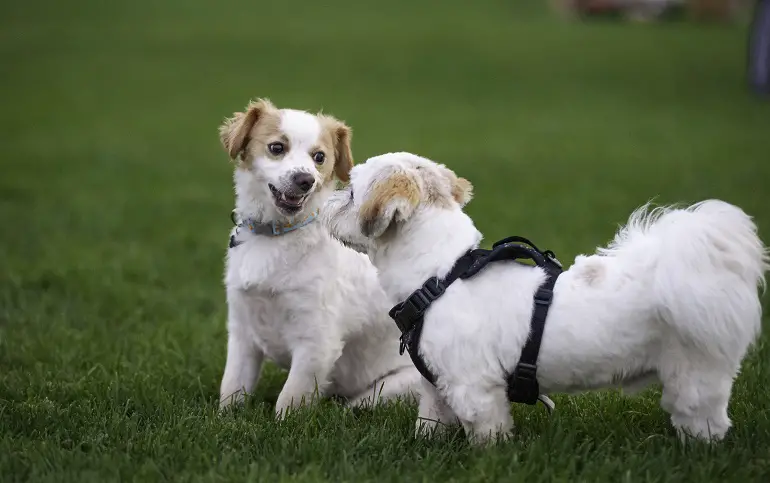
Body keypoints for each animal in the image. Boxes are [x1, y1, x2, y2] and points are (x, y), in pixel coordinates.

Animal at [216, 101, 420, 416]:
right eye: (276, 147)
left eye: (319, 157)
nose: (305, 180)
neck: (276, 237)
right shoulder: (242, 333)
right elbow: (231, 389)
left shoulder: (317, 342)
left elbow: (288, 401)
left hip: (388, 390)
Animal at [324, 153, 768, 444]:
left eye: (351, 193)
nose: (327, 196)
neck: (440, 277)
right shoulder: (438, 384)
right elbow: (430, 422)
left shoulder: (475, 388)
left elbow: (487, 434)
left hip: (695, 373)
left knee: (705, 419)